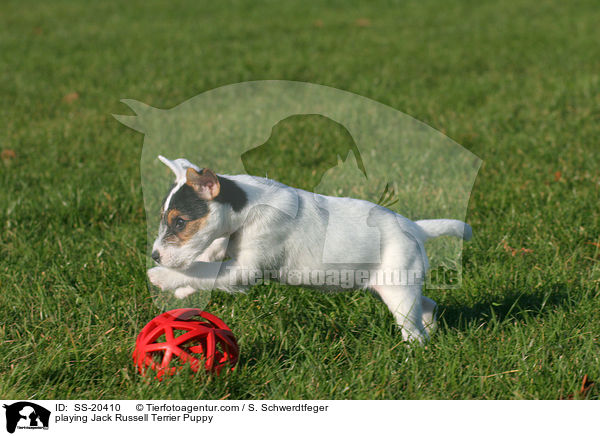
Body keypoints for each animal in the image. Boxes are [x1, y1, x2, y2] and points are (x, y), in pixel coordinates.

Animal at [148, 157, 472, 344]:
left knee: (413, 330)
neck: (247, 208)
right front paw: (181, 287)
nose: (155, 255)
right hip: (394, 287)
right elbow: (207, 260)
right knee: (427, 304)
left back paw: (412, 354)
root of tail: (416, 229)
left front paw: (162, 277)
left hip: (398, 291)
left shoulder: (245, 271)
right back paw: (432, 328)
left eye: (179, 222)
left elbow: (206, 270)